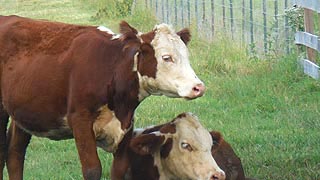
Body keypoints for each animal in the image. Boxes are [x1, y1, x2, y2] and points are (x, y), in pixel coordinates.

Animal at [0, 15, 205, 180]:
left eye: (186, 56)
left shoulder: (126, 125)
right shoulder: (80, 119)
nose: (198, 87)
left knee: (15, 153)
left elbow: (119, 169)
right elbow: (92, 170)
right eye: (166, 57)